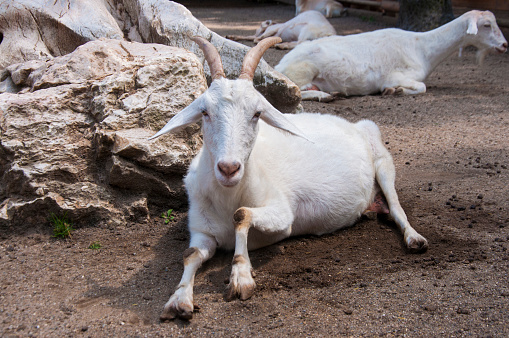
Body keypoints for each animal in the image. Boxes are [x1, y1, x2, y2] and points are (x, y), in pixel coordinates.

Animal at [149, 35, 426, 320]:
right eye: (204, 112)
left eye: (257, 113)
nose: (228, 168)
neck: (227, 196)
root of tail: (351, 124)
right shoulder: (202, 231)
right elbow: (190, 254)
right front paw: (179, 300)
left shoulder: (283, 215)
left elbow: (242, 215)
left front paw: (241, 276)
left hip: (382, 159)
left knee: (396, 206)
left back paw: (414, 239)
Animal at [276, 9, 506, 101]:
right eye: (486, 25)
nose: (504, 45)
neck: (422, 48)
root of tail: (279, 65)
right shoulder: (395, 75)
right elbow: (421, 87)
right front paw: (395, 91)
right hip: (303, 70)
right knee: (295, 91)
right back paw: (325, 96)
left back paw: (332, 93)